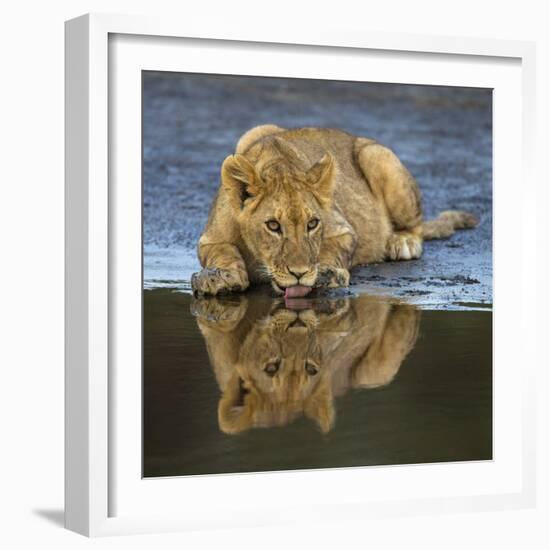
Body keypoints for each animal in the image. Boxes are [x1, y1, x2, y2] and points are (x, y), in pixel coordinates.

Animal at [193, 126, 478, 298]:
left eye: (312, 224)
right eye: (273, 225)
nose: (299, 274)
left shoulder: (343, 230)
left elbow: (331, 249)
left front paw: (325, 274)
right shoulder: (210, 239)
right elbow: (222, 252)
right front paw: (220, 277)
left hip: (377, 155)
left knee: (416, 226)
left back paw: (402, 241)